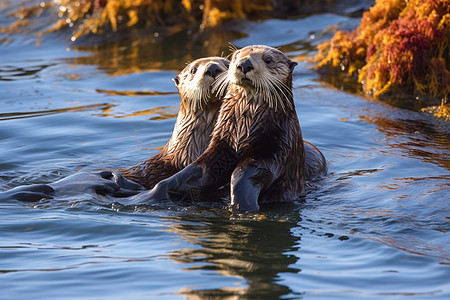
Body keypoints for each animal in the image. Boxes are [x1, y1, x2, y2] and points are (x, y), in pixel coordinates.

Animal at [134, 45, 326, 212]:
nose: (245, 64)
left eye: (268, 59)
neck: (245, 128)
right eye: (235, 58)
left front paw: (241, 204)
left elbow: (247, 174)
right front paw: (151, 193)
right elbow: (199, 171)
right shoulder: (224, 145)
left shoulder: (277, 147)